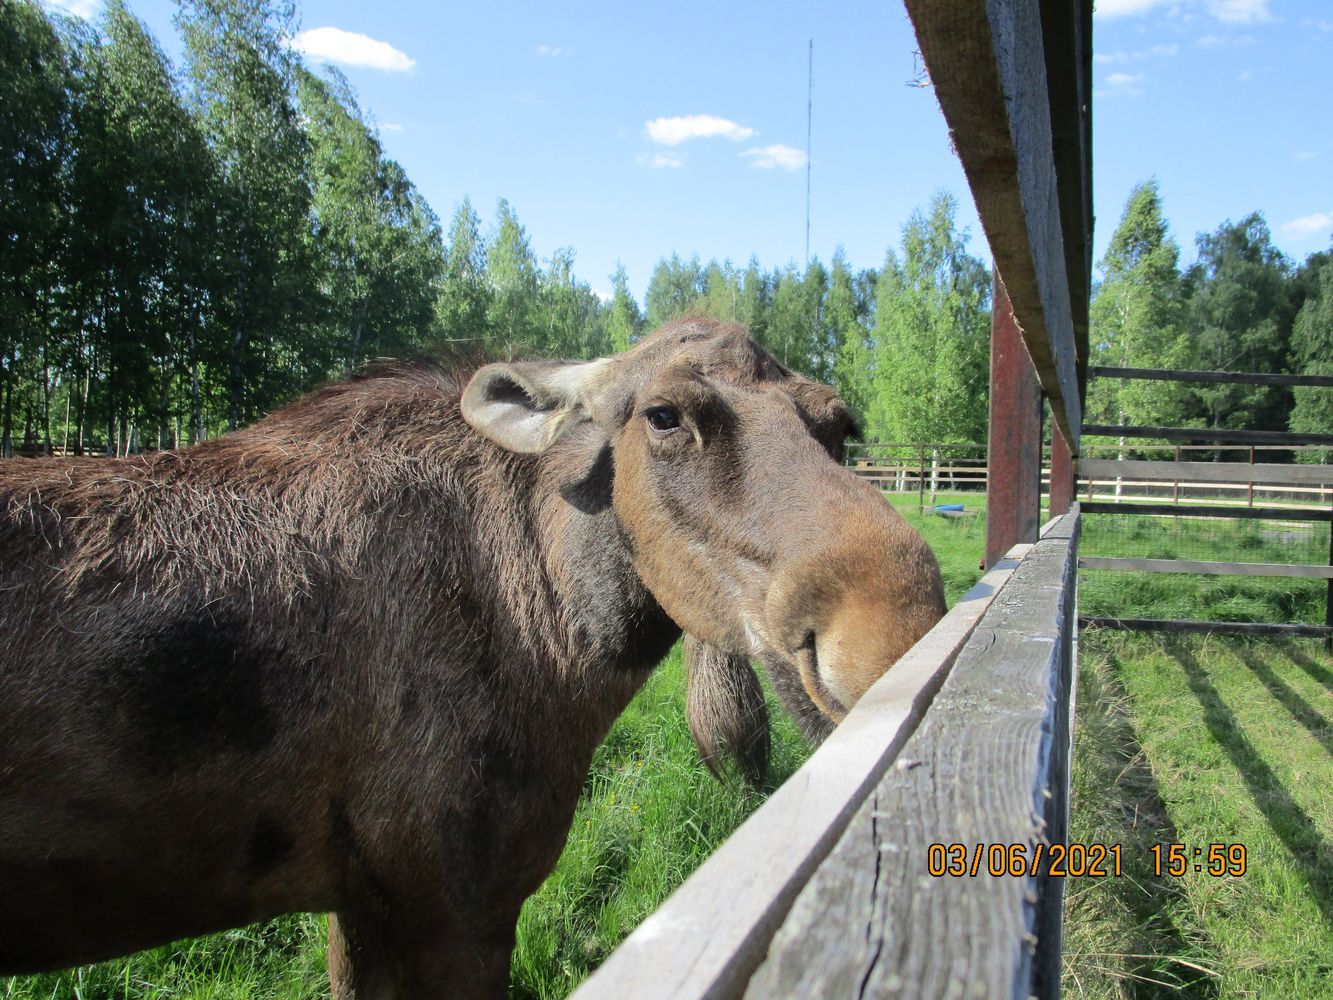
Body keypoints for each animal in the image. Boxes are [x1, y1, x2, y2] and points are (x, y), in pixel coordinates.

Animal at [5, 322, 954, 1000]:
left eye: (840, 424)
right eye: (664, 415)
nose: (894, 626)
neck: (559, 644)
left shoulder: (364, 900)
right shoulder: (452, 903)